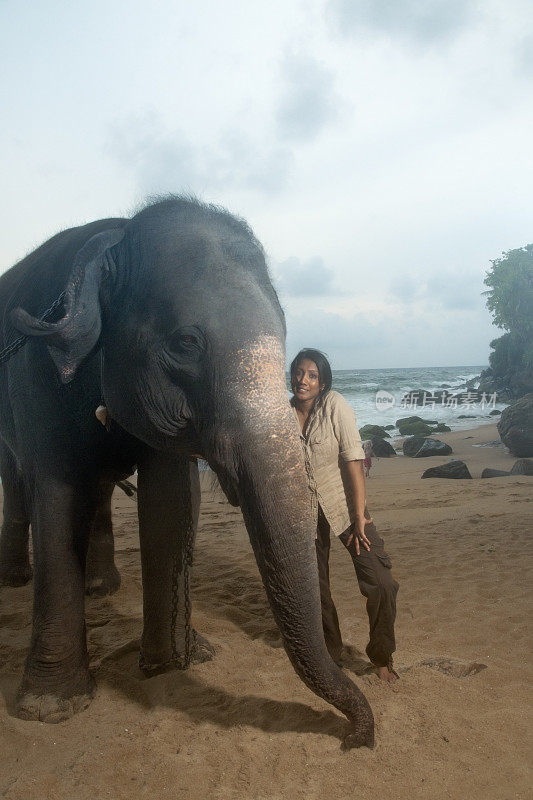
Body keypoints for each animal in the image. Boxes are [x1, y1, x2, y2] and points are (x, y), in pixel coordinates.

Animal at [0, 197, 374, 748]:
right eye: (185, 343)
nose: (357, 737)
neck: (116, 237)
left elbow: (170, 506)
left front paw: (172, 664)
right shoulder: (37, 379)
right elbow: (57, 496)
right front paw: (51, 706)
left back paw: (104, 591)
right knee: (19, 482)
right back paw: (18, 581)